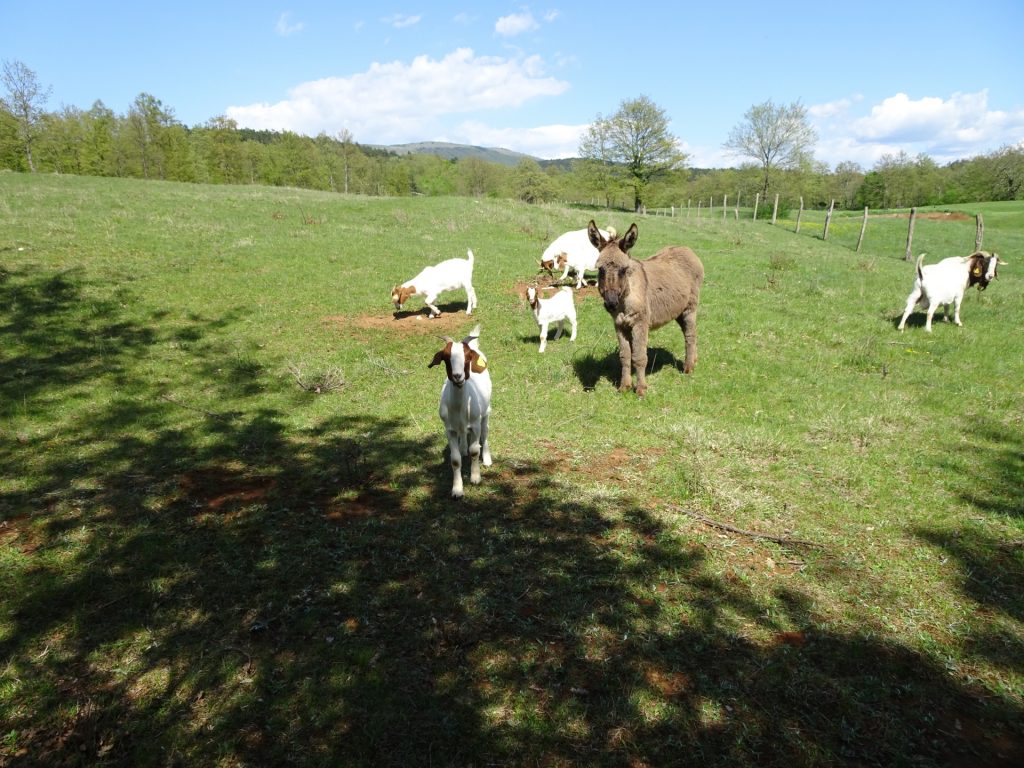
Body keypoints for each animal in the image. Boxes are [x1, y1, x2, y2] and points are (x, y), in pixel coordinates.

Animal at [428, 325, 491, 499]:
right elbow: (455, 460)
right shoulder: (449, 429)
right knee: (463, 434)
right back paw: (463, 449)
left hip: (486, 412)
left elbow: (475, 450)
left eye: (468, 357)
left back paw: (487, 459)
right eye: (446, 356)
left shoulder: (475, 424)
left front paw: (475, 478)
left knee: (485, 432)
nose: (457, 376)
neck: (459, 407)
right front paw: (457, 490)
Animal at [589, 218, 708, 393]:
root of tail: (686, 249)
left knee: (690, 335)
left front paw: (641, 389)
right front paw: (624, 386)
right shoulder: (619, 325)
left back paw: (688, 368)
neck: (625, 299)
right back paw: (695, 360)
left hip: (690, 308)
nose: (611, 303)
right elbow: (624, 356)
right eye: (601, 270)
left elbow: (639, 357)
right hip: (677, 311)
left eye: (624, 270)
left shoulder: (640, 323)